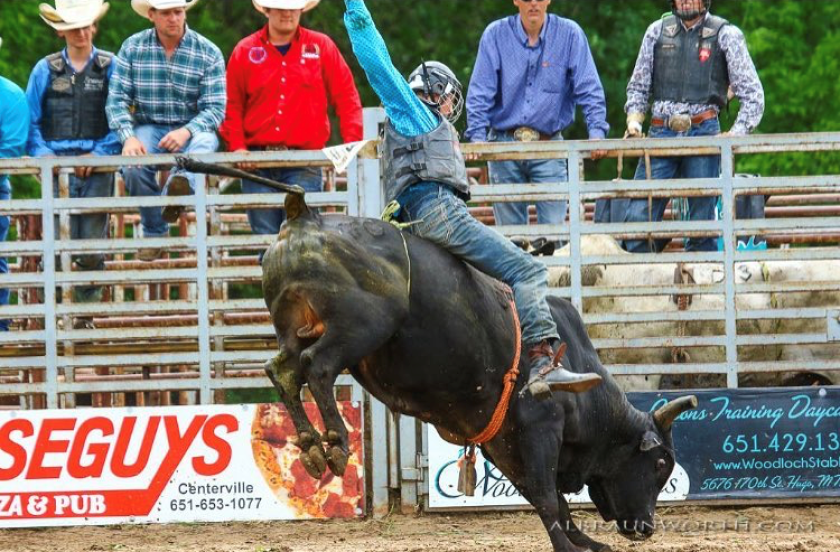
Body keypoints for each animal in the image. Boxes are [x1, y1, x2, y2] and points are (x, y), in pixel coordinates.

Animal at [181, 159, 698, 551]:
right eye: (659, 465)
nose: (646, 528)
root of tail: (305, 215)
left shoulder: (504, 443)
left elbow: (546, 497)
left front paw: (588, 542)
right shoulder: (540, 428)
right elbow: (549, 497)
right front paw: (572, 546)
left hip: (295, 329)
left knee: (283, 371)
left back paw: (310, 447)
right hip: (361, 328)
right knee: (317, 368)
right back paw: (336, 442)